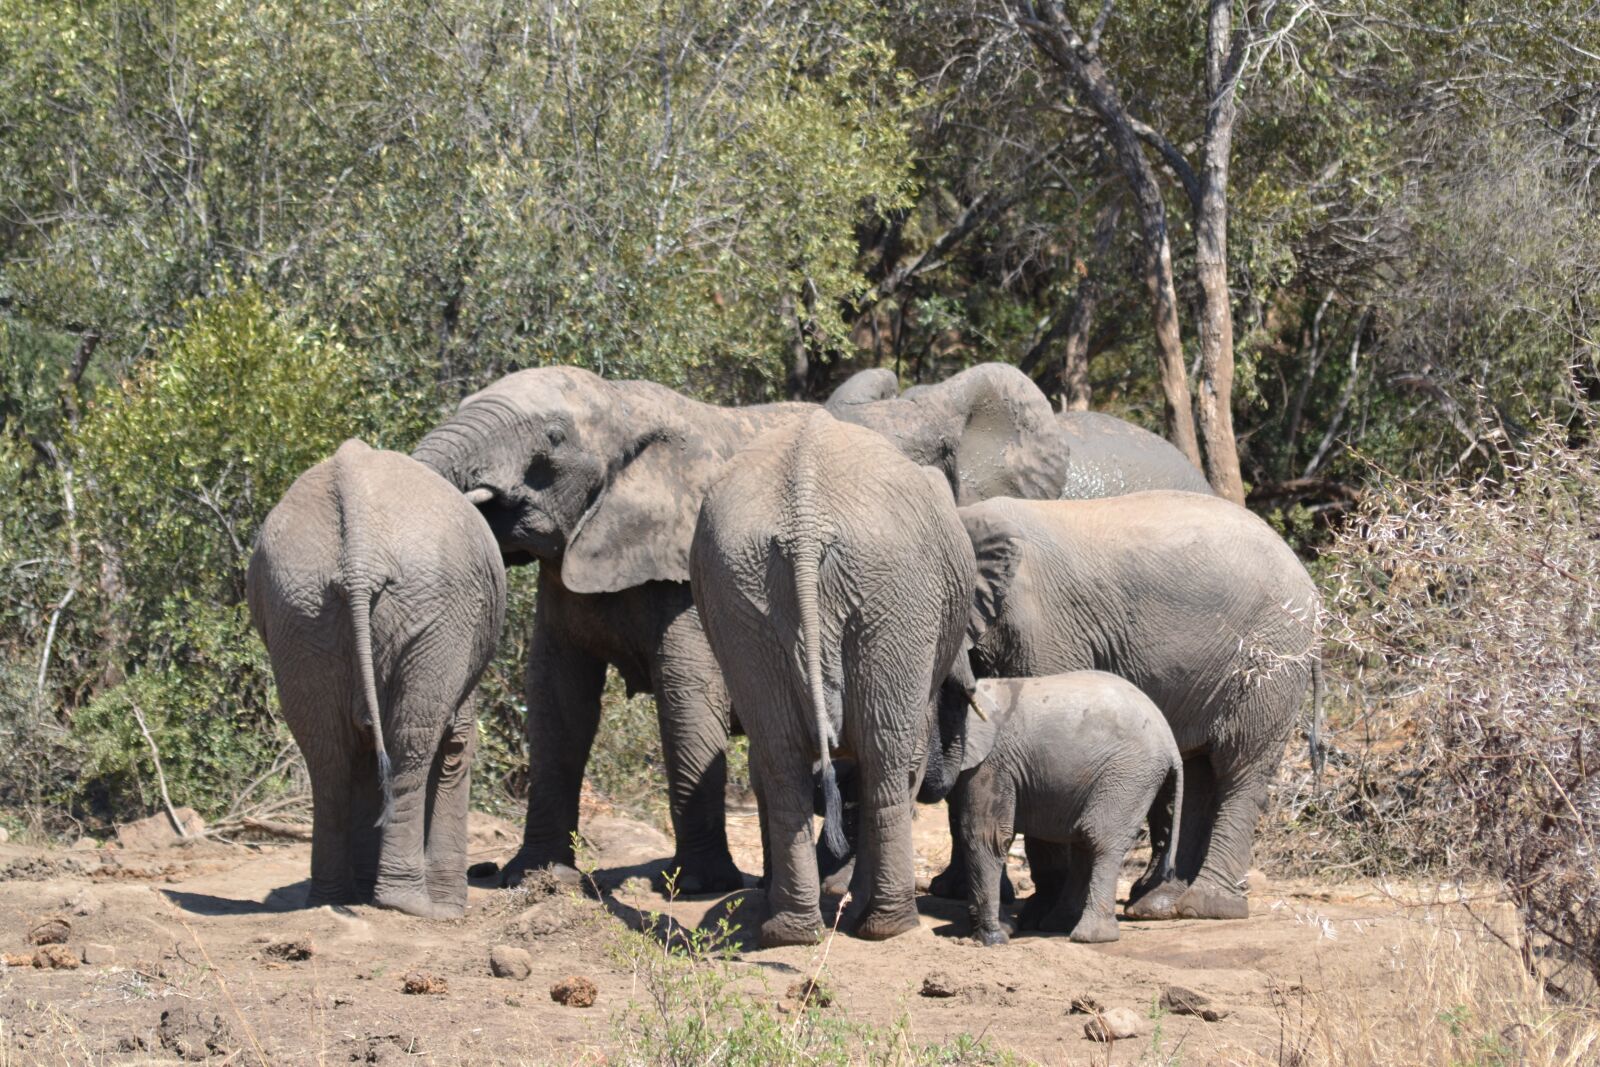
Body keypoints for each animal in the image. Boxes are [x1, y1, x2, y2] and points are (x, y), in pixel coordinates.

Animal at [247, 440, 507, 918]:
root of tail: (359, 558)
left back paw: (334, 898)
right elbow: (456, 745)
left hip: (298, 609)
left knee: (326, 751)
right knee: (410, 741)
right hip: (433, 610)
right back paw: (410, 904)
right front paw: (450, 907)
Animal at [410, 364, 1066, 892]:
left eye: (552, 438)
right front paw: (537, 878)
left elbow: (685, 701)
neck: (629, 405)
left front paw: (698, 885)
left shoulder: (687, 570)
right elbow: (558, 705)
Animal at [690, 410, 975, 946]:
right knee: (889, 755)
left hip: (741, 591)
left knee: (779, 754)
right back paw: (889, 925)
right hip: (896, 592)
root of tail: (804, 521)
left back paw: (791, 931)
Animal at [953, 671, 1182, 946]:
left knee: (1101, 840)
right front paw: (1005, 930)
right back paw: (1057, 924)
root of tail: (1170, 741)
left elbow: (987, 837)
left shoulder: (993, 761)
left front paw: (993, 938)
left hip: (1129, 775)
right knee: (1086, 841)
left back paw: (1089, 936)